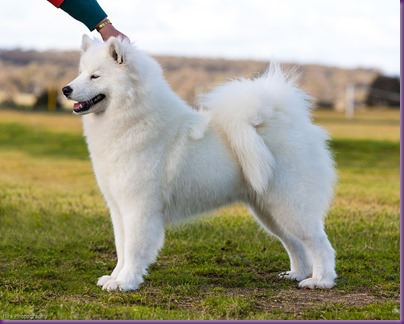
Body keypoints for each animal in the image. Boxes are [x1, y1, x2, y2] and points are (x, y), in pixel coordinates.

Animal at [63, 34, 338, 292]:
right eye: (80, 73)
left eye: (95, 76)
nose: (66, 89)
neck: (133, 121)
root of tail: (291, 122)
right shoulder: (118, 208)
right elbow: (121, 248)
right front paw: (115, 277)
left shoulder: (139, 208)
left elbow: (133, 249)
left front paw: (126, 282)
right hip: (269, 211)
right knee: (295, 243)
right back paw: (297, 274)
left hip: (291, 205)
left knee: (320, 243)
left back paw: (320, 280)